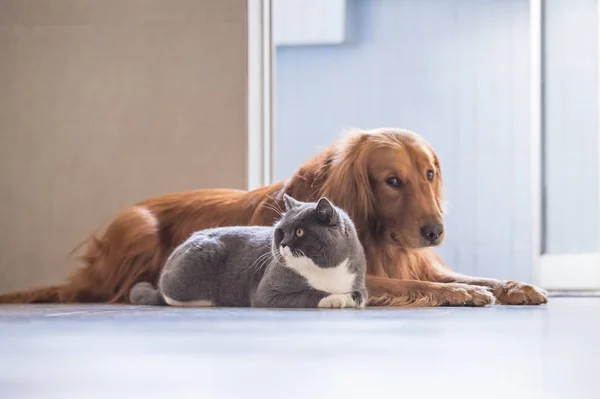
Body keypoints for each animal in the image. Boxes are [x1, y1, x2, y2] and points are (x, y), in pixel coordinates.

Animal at [129, 195, 368, 310]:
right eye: (280, 232)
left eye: (300, 232)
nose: (283, 244)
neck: (327, 270)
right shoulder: (268, 292)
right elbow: (307, 294)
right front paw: (335, 299)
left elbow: (362, 295)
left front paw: (351, 297)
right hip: (189, 272)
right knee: (170, 295)